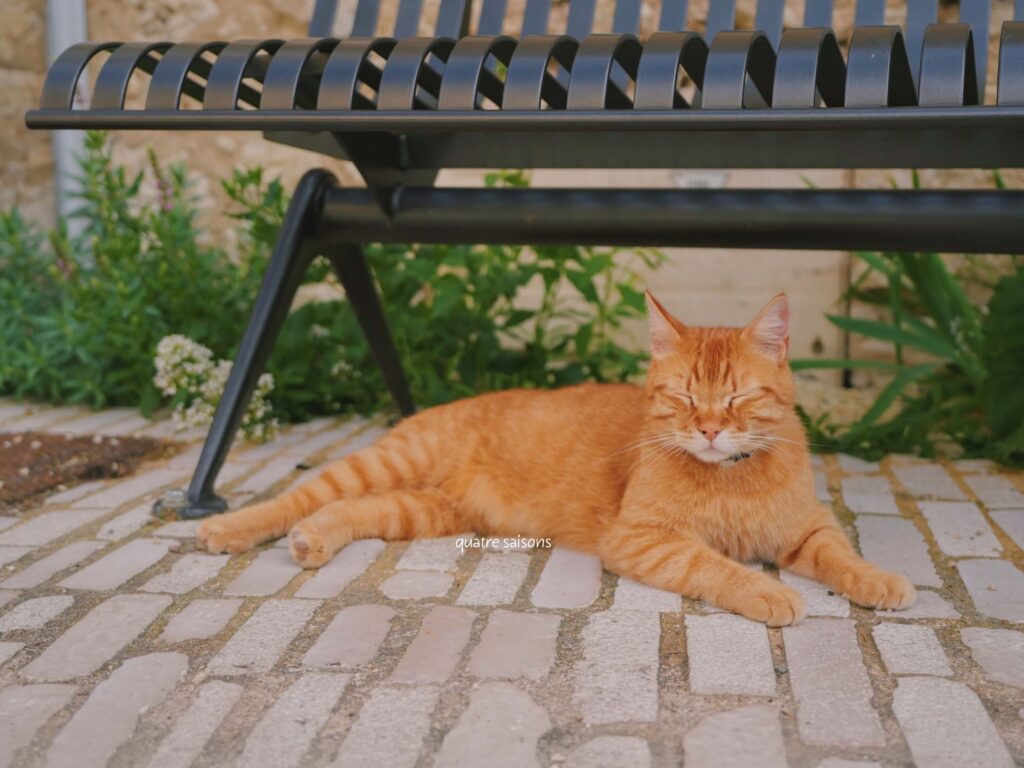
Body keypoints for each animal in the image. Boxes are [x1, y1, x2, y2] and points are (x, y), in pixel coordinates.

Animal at [197, 292, 913, 626]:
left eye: (736, 398)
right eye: (684, 399)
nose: (709, 430)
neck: (729, 475)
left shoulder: (806, 529)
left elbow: (841, 554)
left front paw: (878, 579)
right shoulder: (643, 539)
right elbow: (717, 566)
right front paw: (767, 590)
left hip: (424, 511)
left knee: (348, 511)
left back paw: (313, 541)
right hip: (388, 467)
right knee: (300, 496)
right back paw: (225, 526)